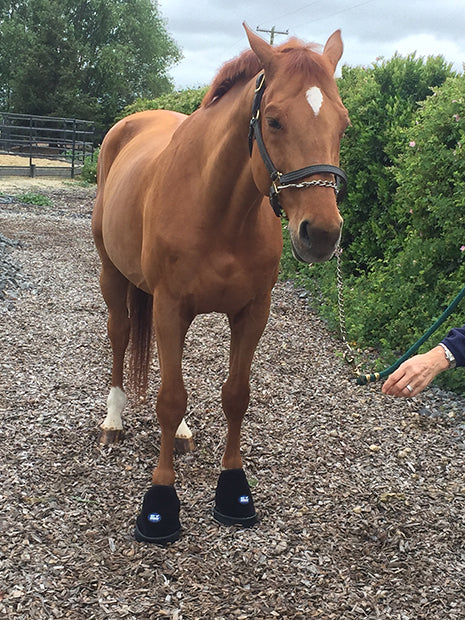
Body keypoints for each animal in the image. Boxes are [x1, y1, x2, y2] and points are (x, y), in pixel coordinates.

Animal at [92, 24, 346, 544]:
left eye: (344, 124)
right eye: (274, 121)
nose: (322, 234)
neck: (219, 206)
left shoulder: (252, 312)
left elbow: (235, 395)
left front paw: (233, 490)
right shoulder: (169, 305)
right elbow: (170, 398)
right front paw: (160, 504)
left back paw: (182, 433)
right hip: (114, 274)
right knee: (120, 335)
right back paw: (113, 420)